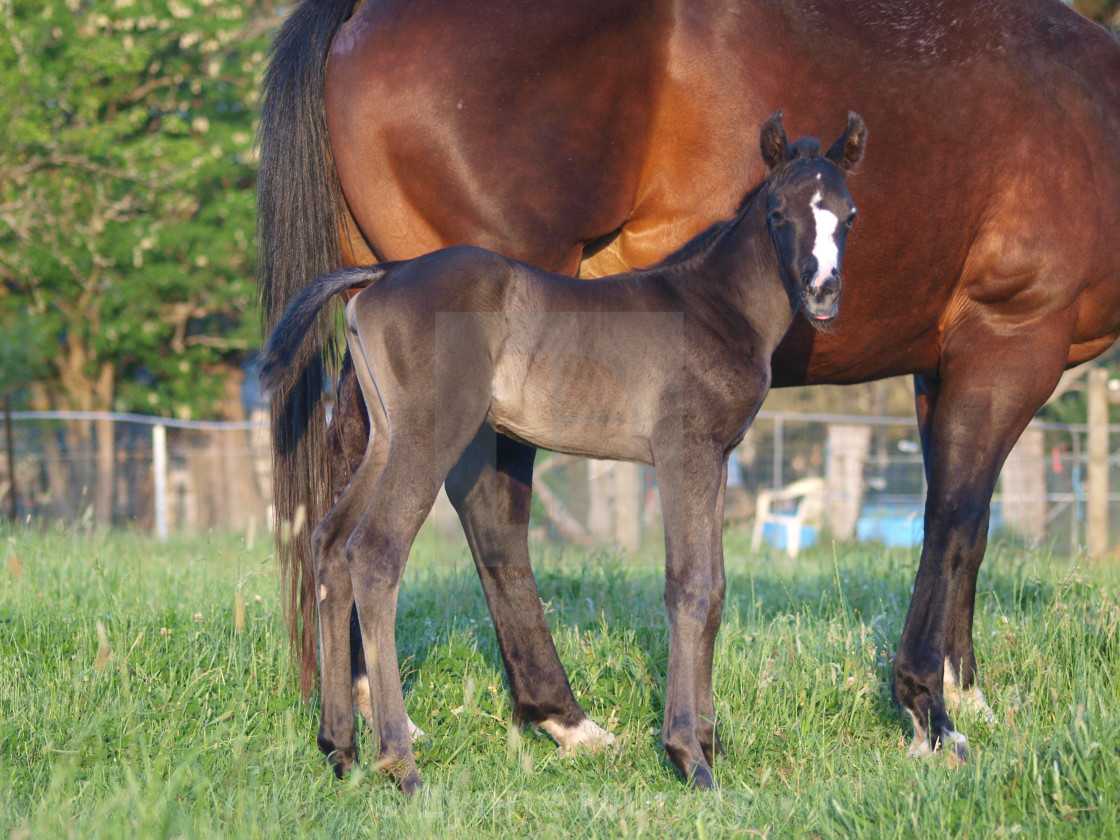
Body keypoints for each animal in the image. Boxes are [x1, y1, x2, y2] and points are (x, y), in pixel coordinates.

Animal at [262, 112, 864, 788]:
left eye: (849, 215)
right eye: (779, 213)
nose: (822, 291)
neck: (716, 304)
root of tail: (383, 275)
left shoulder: (719, 458)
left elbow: (714, 591)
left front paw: (709, 747)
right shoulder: (685, 451)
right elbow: (689, 585)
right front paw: (688, 756)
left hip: (388, 436)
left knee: (329, 543)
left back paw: (339, 748)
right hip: (429, 434)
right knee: (374, 551)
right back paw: (401, 763)